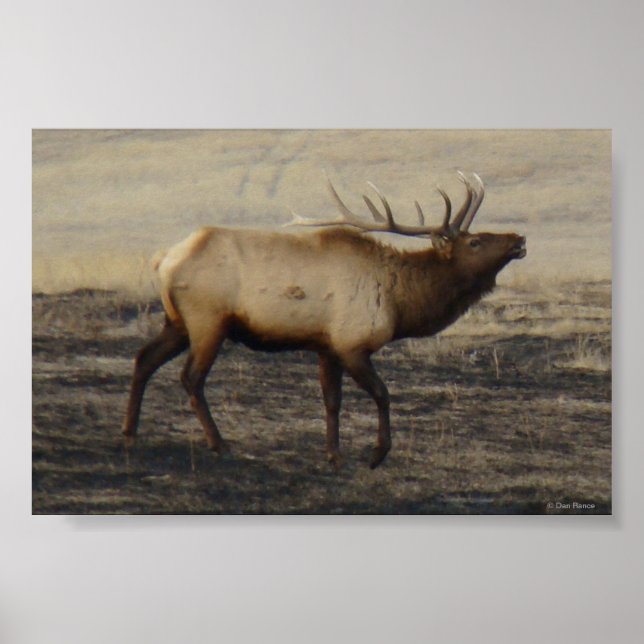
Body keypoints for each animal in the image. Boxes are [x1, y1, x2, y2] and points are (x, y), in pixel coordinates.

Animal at [122, 172, 526, 469]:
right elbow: (382, 393)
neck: (400, 302)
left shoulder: (326, 345)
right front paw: (376, 454)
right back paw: (220, 445)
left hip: (177, 322)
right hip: (208, 320)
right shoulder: (352, 343)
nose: (519, 238)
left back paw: (129, 433)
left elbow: (332, 400)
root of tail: (164, 260)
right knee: (191, 377)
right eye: (475, 242)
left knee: (144, 359)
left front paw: (334, 454)